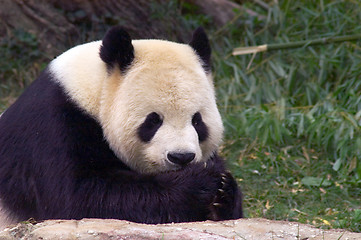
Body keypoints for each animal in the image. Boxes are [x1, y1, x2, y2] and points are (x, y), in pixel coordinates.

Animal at [0, 25, 242, 228]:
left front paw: (223, 192)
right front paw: (201, 181)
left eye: (197, 121)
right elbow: (78, 198)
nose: (181, 157)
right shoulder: (54, 127)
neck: (94, 91)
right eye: (153, 120)